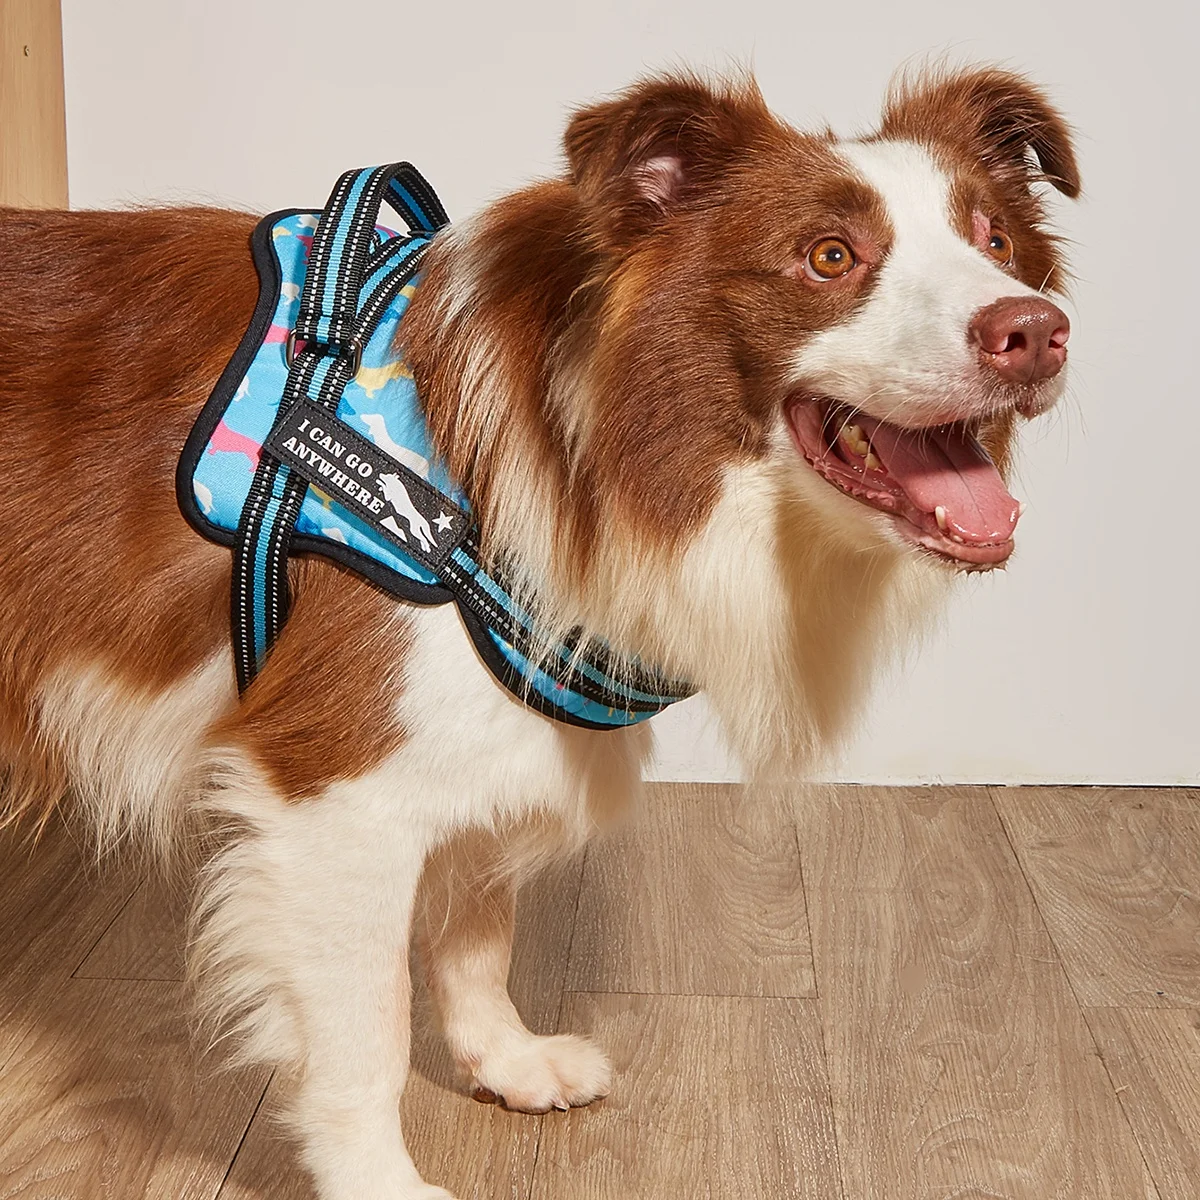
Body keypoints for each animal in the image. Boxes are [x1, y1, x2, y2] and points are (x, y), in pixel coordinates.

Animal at [0, 65, 1078, 1200]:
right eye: (830, 256)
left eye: (995, 239)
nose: (1035, 330)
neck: (593, 442)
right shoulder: (332, 790)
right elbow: (365, 1032)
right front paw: (376, 1178)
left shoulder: (487, 733)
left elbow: (478, 930)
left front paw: (505, 1060)